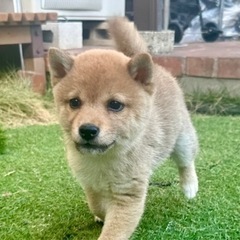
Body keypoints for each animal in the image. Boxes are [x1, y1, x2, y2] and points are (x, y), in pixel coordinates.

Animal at [48, 16, 199, 240]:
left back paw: (190, 186)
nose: (87, 130)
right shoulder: (90, 184)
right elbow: (96, 205)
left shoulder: (127, 195)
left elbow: (113, 231)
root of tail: (158, 69)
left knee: (186, 162)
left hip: (182, 140)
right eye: (74, 102)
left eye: (115, 105)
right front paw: (100, 215)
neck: (102, 160)